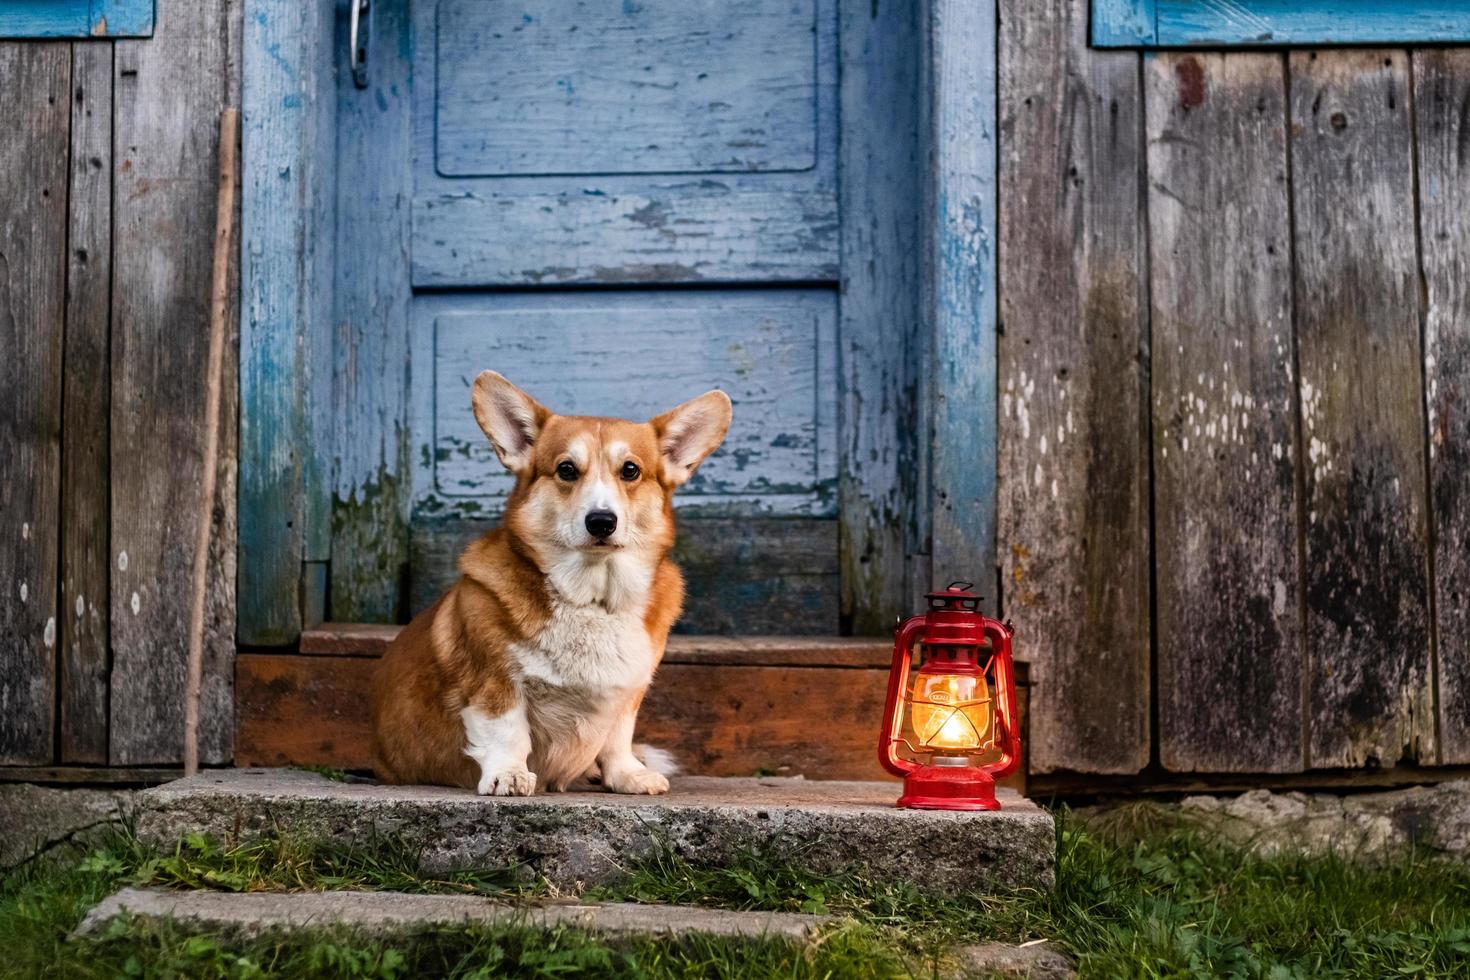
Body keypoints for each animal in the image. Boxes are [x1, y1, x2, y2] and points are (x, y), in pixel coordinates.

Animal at [370, 371, 732, 793]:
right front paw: (508, 774)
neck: (592, 597)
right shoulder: (496, 682)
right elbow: (507, 731)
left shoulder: (628, 693)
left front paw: (628, 774)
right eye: (566, 470)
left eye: (630, 470)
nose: (601, 521)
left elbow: (618, 737)